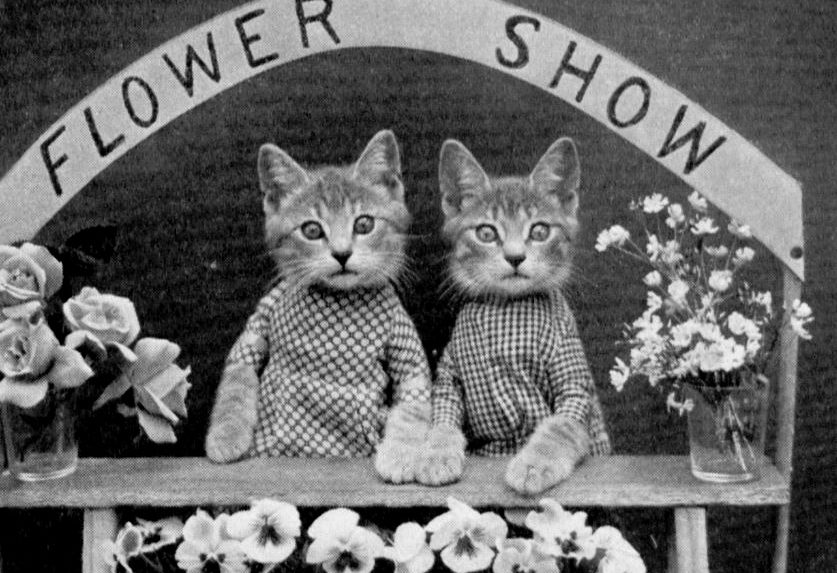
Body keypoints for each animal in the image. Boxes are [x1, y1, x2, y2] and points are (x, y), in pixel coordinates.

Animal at [204, 131, 432, 482]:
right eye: (312, 230)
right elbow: (239, 372)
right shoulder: (266, 309)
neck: (337, 298)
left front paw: (400, 455)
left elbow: (413, 392)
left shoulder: (401, 331)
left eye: (364, 224)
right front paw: (226, 435)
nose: (342, 253)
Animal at [414, 136, 612, 494]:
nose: (516, 257)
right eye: (486, 233)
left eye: (539, 231)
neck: (509, 309)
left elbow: (559, 427)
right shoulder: (451, 374)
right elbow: (443, 418)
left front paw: (535, 463)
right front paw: (436, 453)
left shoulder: (574, 386)